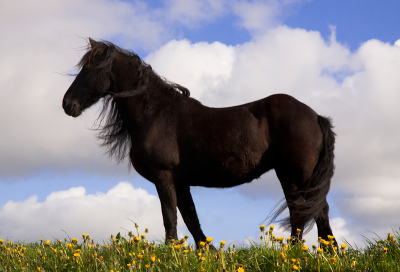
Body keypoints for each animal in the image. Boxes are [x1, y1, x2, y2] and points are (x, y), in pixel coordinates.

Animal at [63, 37, 338, 244]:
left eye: (90, 68)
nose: (68, 104)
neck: (156, 113)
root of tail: (315, 116)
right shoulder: (180, 182)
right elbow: (191, 220)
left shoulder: (164, 177)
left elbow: (170, 219)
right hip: (290, 176)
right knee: (304, 212)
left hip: (298, 175)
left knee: (313, 211)